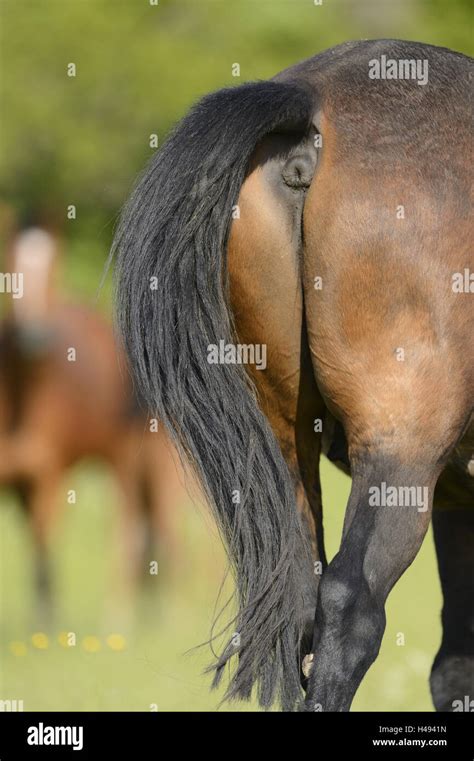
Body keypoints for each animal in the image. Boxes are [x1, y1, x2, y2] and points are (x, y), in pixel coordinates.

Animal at [113, 38, 472, 708]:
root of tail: (313, 99)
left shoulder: (461, 499)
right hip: (401, 451)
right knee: (348, 607)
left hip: (287, 441)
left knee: (303, 602)